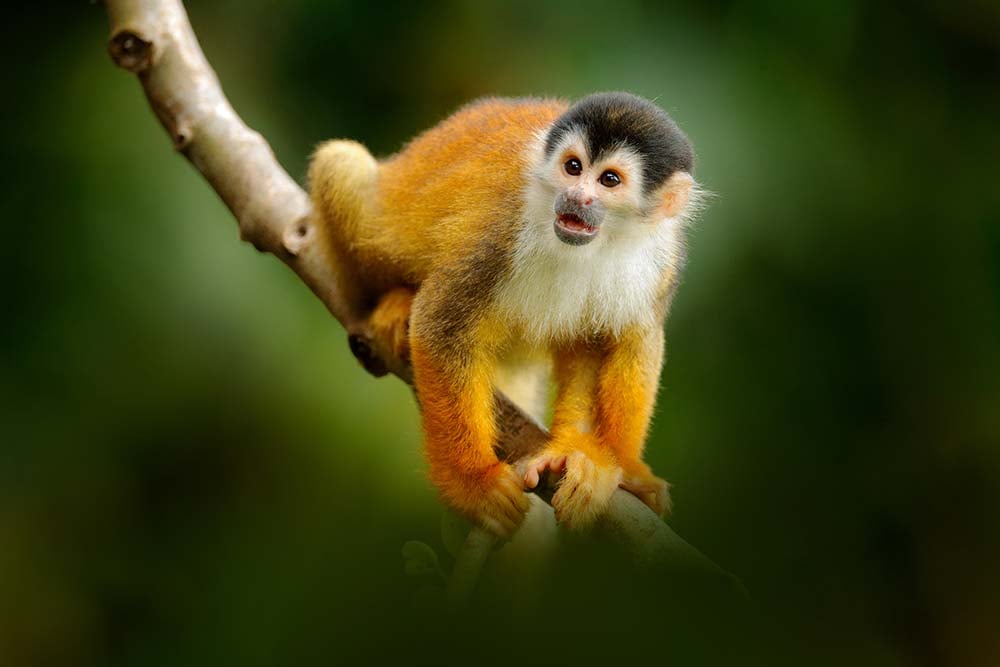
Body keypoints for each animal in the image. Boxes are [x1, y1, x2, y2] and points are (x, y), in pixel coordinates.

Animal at [308, 92, 700, 536]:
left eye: (610, 180)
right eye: (573, 167)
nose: (577, 197)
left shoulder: (663, 257)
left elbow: (632, 338)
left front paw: (611, 464)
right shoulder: (500, 228)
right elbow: (441, 323)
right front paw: (474, 484)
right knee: (341, 164)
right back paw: (393, 303)